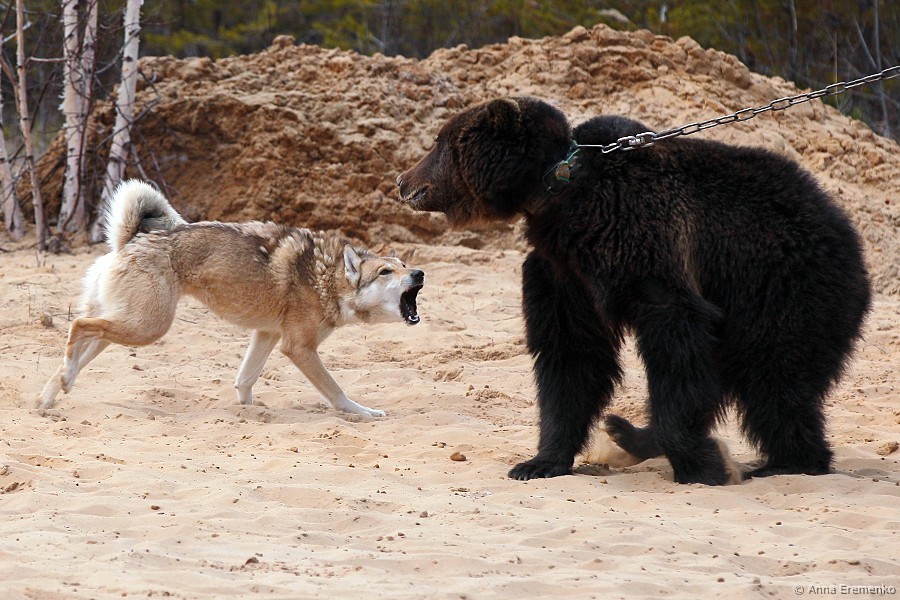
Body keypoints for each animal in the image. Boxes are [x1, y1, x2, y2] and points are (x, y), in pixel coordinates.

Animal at [39, 180, 425, 417]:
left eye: (403, 265)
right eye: (385, 272)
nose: (420, 274)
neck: (326, 276)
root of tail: (130, 239)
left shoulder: (267, 335)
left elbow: (244, 381)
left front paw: (249, 410)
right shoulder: (298, 348)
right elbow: (338, 394)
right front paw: (365, 413)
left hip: (128, 326)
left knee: (74, 350)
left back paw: (51, 393)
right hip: (147, 328)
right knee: (78, 325)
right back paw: (62, 382)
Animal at [397, 97, 871, 485]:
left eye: (439, 142)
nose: (403, 180)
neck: (562, 198)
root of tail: (846, 229)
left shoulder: (642, 241)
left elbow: (673, 337)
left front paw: (701, 465)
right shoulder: (563, 271)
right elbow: (571, 355)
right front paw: (540, 461)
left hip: (783, 284)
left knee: (775, 377)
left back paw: (785, 462)